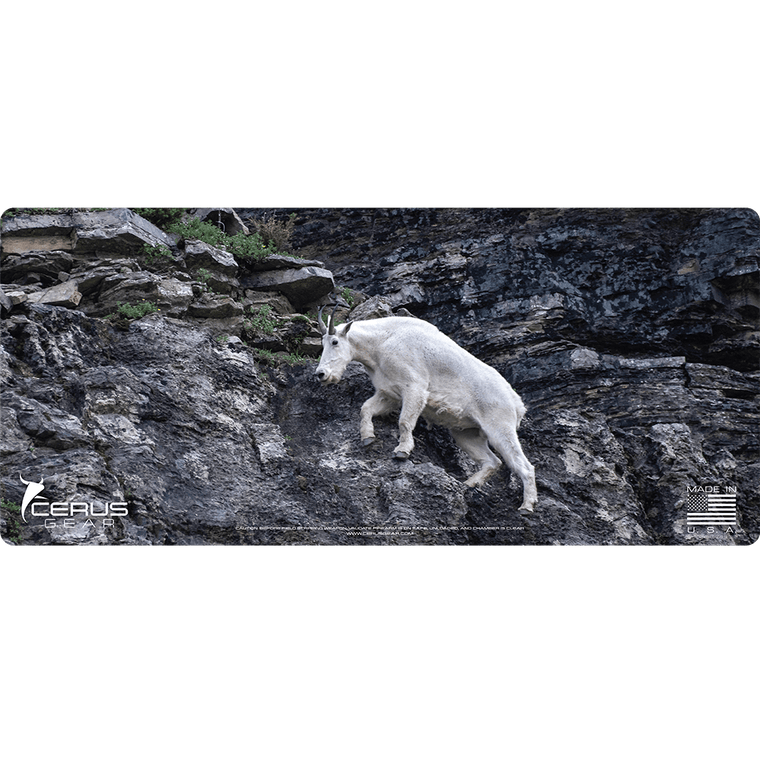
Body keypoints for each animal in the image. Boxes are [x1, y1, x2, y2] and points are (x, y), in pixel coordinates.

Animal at [314, 304, 537, 513]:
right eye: (322, 343)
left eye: (335, 342)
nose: (321, 374)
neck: (381, 342)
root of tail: (516, 402)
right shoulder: (389, 393)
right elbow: (366, 409)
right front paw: (367, 437)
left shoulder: (415, 388)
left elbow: (404, 421)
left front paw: (402, 451)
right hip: (467, 433)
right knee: (492, 461)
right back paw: (469, 484)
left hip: (500, 426)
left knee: (523, 465)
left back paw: (527, 506)